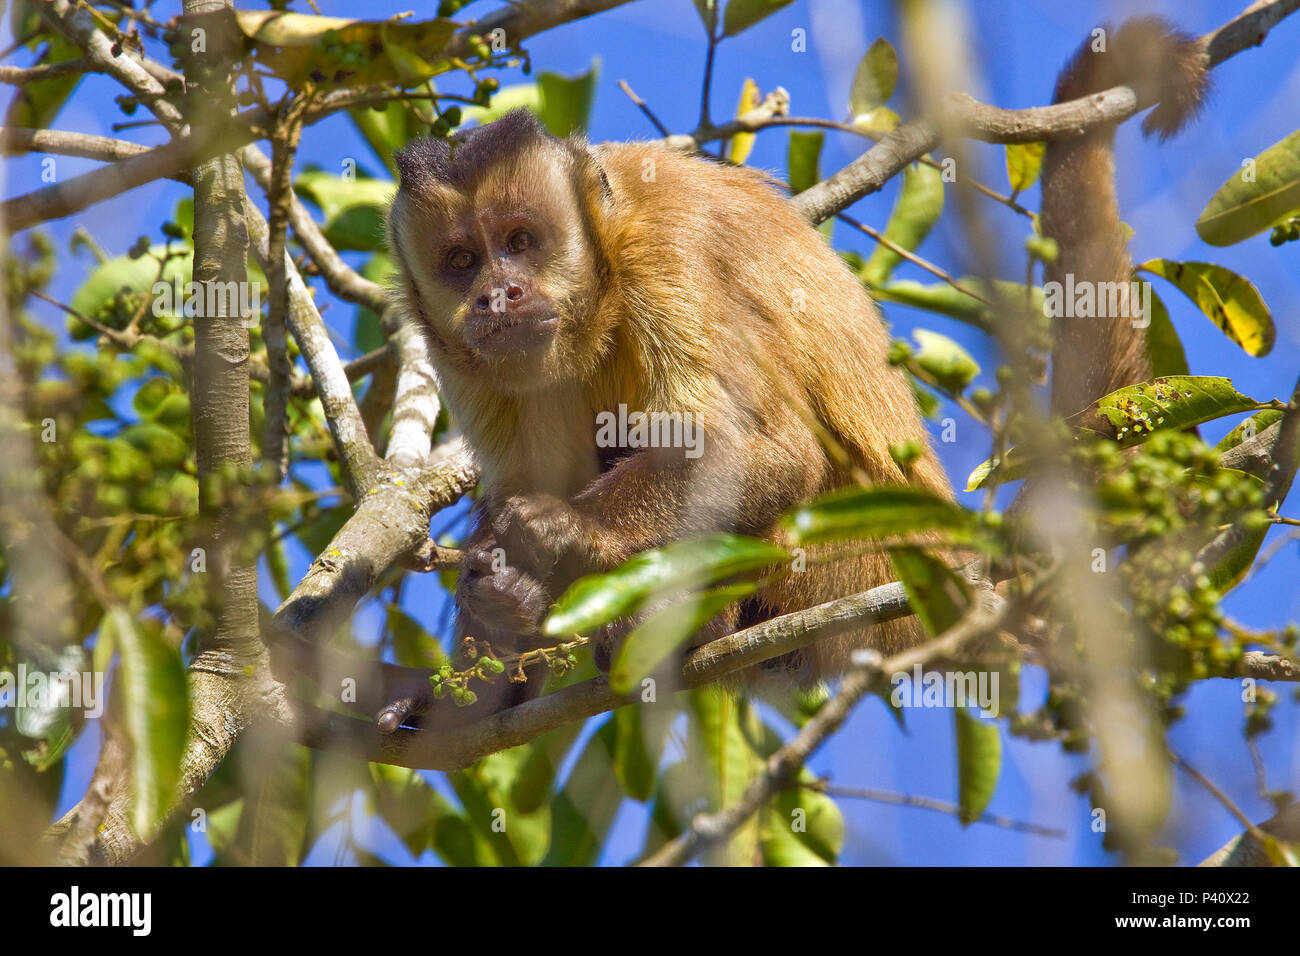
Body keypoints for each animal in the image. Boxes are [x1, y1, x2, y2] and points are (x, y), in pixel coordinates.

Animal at [377, 16, 1206, 733]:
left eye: (521, 241)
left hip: (861, 568)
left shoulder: (666, 252)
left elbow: (768, 451)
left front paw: (561, 531)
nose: (498, 294)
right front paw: (480, 648)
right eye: (462, 261)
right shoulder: (461, 358)